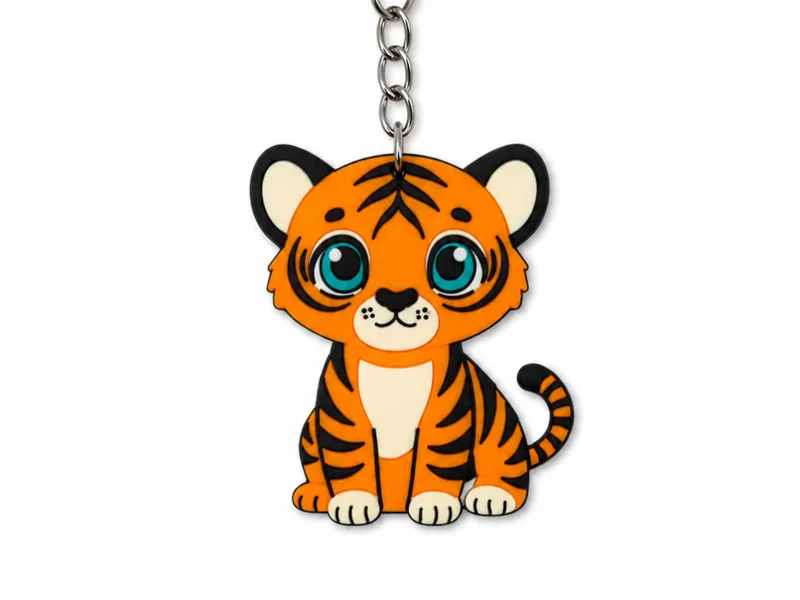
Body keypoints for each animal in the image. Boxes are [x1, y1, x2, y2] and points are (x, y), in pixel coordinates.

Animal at [250, 143, 574, 526]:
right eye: (341, 264)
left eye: (453, 264)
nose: (396, 297)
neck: (396, 364)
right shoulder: (341, 420)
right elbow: (350, 462)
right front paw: (352, 503)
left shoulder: (447, 419)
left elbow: (437, 461)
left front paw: (434, 504)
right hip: (309, 431)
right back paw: (317, 494)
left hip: (501, 432)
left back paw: (493, 495)